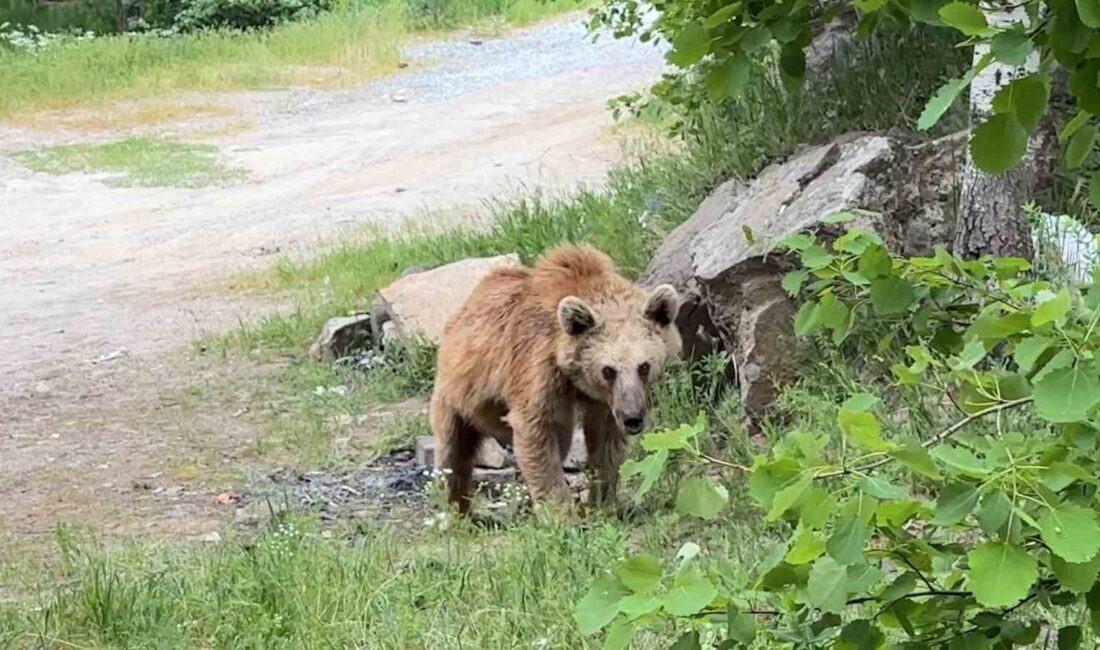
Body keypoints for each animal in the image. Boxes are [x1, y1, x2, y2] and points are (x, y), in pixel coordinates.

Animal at [426, 244, 677, 514]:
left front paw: (602, 502)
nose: (633, 418)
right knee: (452, 453)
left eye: (644, 366)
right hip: (457, 393)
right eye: (608, 370)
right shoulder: (538, 367)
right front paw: (561, 512)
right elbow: (537, 430)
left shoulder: (605, 400)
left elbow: (605, 441)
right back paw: (456, 509)